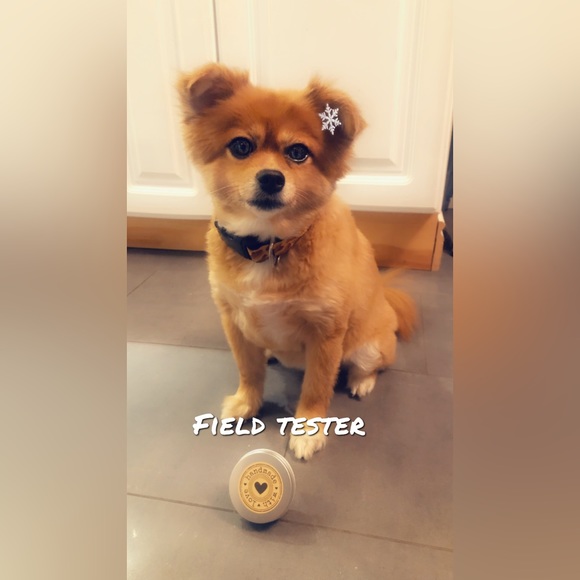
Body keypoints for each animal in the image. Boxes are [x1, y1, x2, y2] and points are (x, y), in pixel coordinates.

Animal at [177, 63, 416, 460]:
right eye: (241, 146)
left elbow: (317, 386)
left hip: (368, 347)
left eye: (299, 152)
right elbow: (248, 370)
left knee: (371, 366)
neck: (270, 245)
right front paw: (246, 403)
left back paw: (361, 381)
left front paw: (307, 431)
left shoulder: (325, 333)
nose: (272, 178)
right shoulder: (234, 320)